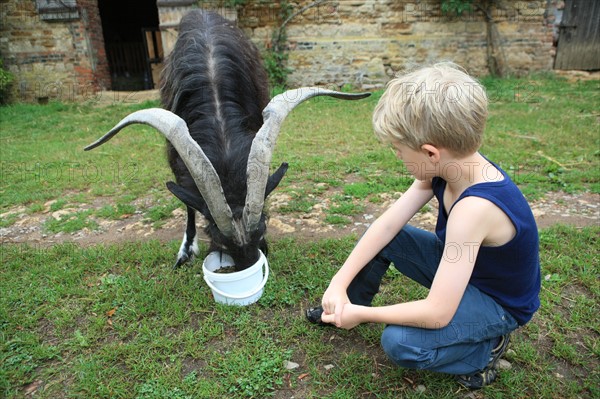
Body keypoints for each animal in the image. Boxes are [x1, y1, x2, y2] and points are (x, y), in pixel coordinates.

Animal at [85, 10, 370, 272]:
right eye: (216, 236)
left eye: (263, 226)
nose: (251, 265)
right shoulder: (173, 150)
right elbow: (188, 201)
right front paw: (185, 250)